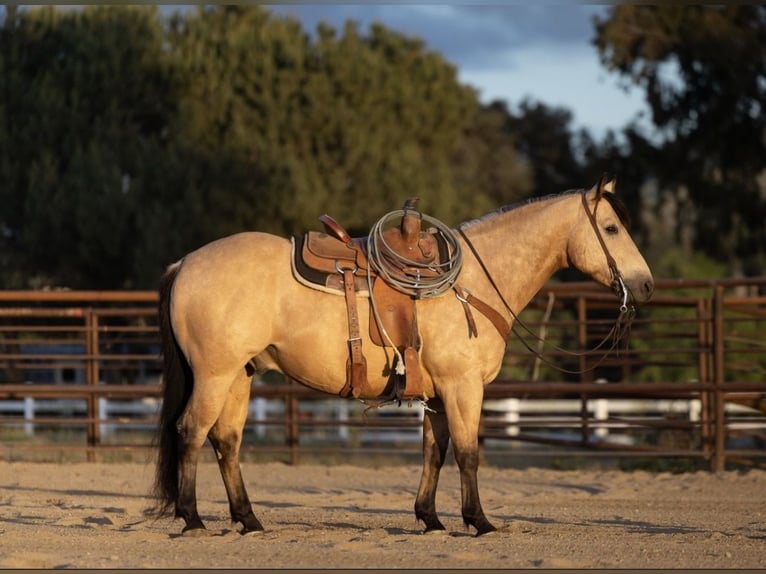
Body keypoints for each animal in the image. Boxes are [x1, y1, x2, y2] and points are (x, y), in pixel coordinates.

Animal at [152, 177, 654, 537]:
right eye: (611, 228)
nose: (646, 285)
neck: (472, 282)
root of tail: (185, 263)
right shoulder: (462, 386)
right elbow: (468, 453)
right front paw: (479, 521)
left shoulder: (435, 395)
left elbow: (436, 451)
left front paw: (430, 518)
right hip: (214, 375)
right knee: (191, 431)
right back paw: (193, 518)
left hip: (240, 375)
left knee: (227, 441)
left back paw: (248, 519)